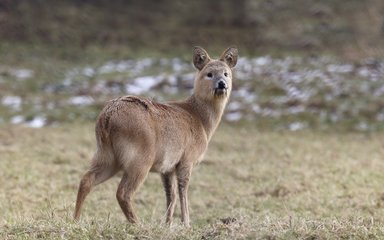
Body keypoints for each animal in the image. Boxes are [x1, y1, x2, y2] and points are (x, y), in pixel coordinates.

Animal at [73, 46, 238, 227]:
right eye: (209, 74)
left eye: (226, 73)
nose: (222, 84)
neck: (201, 121)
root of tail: (107, 116)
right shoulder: (187, 159)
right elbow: (183, 190)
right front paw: (186, 224)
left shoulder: (167, 167)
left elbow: (170, 194)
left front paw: (167, 224)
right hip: (139, 157)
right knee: (123, 192)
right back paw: (138, 224)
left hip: (106, 154)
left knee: (86, 180)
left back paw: (75, 220)